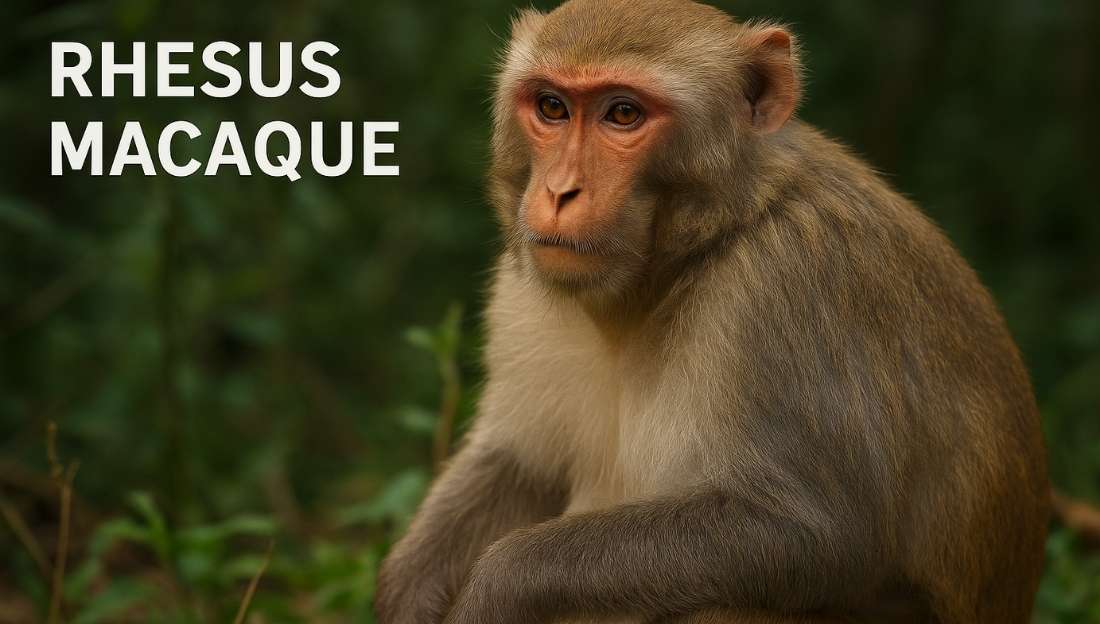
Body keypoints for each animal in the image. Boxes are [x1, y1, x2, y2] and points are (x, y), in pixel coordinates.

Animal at [374, 1, 1050, 623]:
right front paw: (409, 591)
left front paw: (498, 588)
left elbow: (811, 533)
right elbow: (521, 466)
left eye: (624, 113)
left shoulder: (785, 282)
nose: (559, 191)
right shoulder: (525, 284)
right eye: (552, 107)